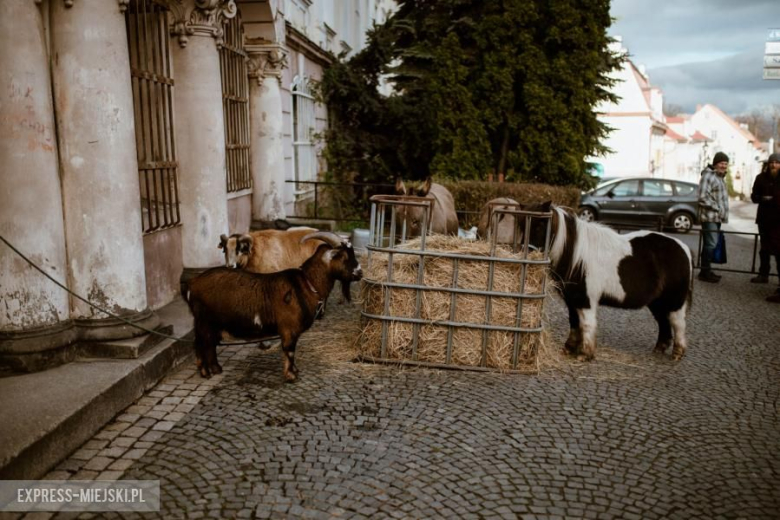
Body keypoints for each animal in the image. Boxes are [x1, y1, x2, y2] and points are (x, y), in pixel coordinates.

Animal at [185, 232, 362, 382]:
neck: (306, 283)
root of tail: (192, 284)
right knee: (200, 343)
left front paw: (295, 371)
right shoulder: (288, 328)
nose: (360, 273)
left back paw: (216, 368)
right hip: (203, 321)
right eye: (344, 256)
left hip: (214, 323)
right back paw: (205, 372)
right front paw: (291, 376)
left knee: (210, 343)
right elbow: (289, 350)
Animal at [532, 203, 692, 362]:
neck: (577, 257)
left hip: (674, 301)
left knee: (678, 323)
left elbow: (587, 324)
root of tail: (683, 248)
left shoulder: (585, 301)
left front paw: (585, 353)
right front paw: (569, 348)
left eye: (540, 225)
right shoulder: (572, 300)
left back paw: (677, 353)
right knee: (663, 322)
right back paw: (659, 348)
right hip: (657, 302)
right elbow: (574, 323)